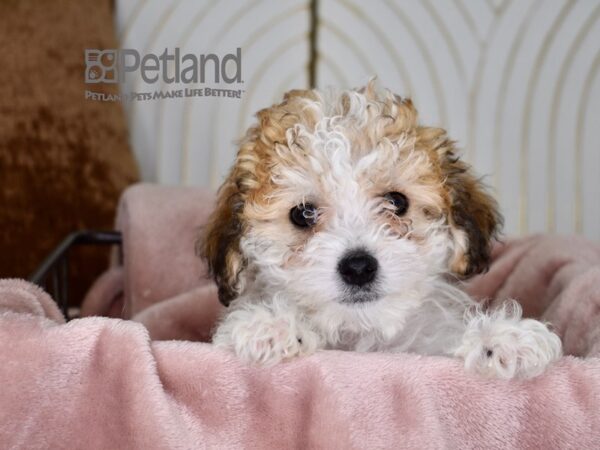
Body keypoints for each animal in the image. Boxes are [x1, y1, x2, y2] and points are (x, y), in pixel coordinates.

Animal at [198, 82, 564, 378]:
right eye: (302, 214)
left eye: (397, 201)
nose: (359, 267)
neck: (359, 332)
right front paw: (270, 325)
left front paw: (504, 338)